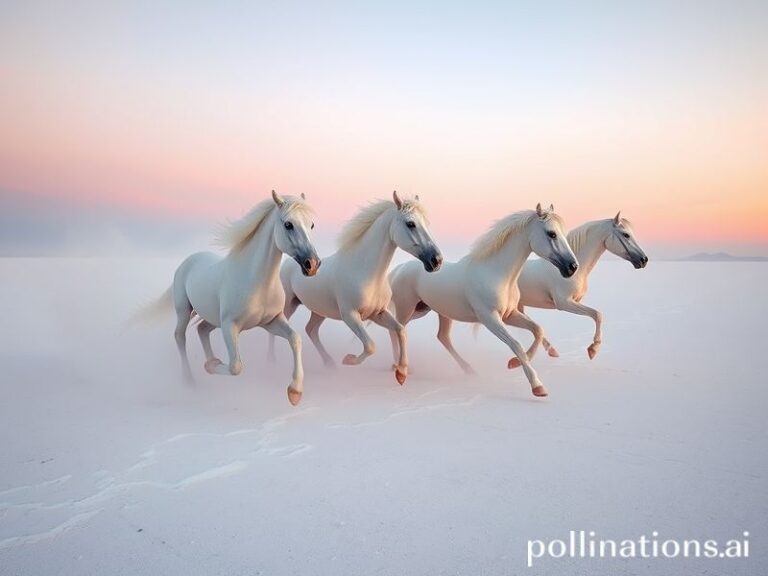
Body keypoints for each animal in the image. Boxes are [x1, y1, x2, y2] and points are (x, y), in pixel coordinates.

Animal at [155, 190, 320, 406]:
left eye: (312, 224)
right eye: (288, 224)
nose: (313, 264)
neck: (257, 282)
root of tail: (188, 261)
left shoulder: (271, 322)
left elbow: (295, 338)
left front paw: (295, 391)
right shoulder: (230, 326)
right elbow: (236, 367)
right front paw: (210, 368)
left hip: (212, 319)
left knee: (202, 329)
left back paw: (210, 360)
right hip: (184, 310)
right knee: (180, 336)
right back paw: (189, 380)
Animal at [269, 191, 442, 385]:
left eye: (427, 223)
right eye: (410, 223)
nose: (436, 260)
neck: (365, 271)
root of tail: (288, 263)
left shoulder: (378, 314)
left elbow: (401, 331)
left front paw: (401, 372)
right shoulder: (350, 316)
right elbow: (370, 345)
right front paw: (349, 359)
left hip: (319, 311)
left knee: (311, 330)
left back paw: (329, 363)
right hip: (288, 305)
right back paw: (272, 361)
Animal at [387, 204, 577, 397]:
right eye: (551, 233)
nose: (572, 266)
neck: (496, 273)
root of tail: (398, 269)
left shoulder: (510, 315)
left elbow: (538, 330)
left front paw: (514, 363)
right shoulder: (490, 319)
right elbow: (516, 344)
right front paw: (537, 386)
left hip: (428, 310)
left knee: (440, 336)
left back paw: (468, 370)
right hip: (407, 308)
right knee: (398, 329)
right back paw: (399, 368)